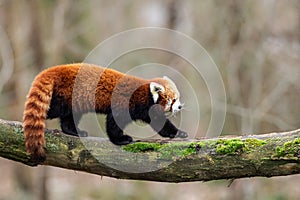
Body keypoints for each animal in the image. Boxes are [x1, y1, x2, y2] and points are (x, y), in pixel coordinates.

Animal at [23, 63, 188, 162]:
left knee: (69, 118)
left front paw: (179, 133)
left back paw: (74, 131)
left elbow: (161, 124)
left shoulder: (146, 111)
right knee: (52, 110)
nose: (180, 107)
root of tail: (54, 69)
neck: (144, 94)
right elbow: (113, 123)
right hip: (63, 97)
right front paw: (121, 139)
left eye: (178, 98)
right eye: (174, 99)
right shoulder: (124, 103)